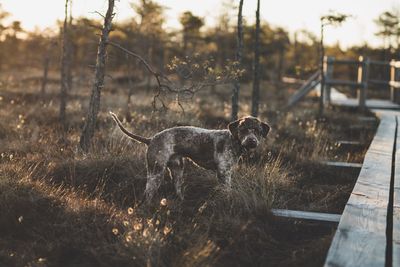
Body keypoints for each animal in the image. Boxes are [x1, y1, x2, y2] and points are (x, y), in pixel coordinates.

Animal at [111, 112, 270, 203]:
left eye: (257, 131)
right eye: (243, 130)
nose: (252, 141)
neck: (233, 141)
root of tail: (151, 139)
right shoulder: (224, 172)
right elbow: (227, 191)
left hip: (177, 170)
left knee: (177, 189)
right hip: (156, 171)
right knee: (148, 193)